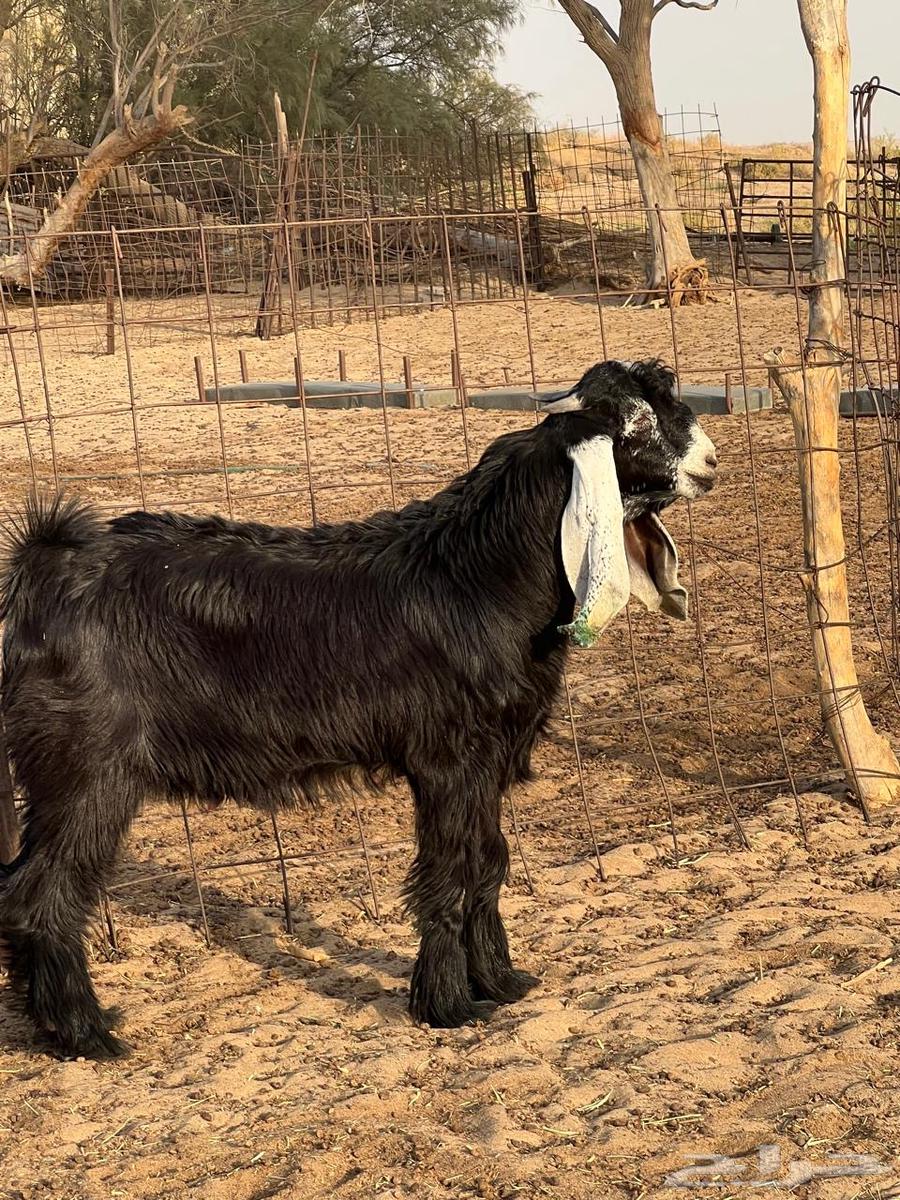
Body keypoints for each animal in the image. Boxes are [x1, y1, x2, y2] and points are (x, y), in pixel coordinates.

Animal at [0, 359, 717, 1059]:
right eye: (633, 425)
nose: (710, 461)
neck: (479, 576)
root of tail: (42, 569)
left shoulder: (485, 762)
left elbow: (489, 862)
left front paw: (502, 981)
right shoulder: (447, 761)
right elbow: (448, 874)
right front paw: (447, 1006)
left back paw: (46, 1025)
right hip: (88, 772)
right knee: (42, 894)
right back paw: (84, 1033)